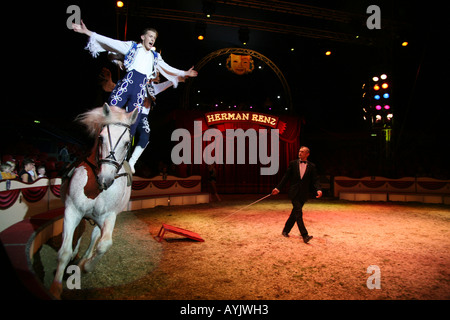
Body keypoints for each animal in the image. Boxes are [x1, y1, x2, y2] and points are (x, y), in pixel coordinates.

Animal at [50, 104, 138, 298]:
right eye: (101, 138)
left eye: (127, 143)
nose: (105, 179)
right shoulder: (72, 211)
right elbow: (64, 251)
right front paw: (56, 288)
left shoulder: (109, 216)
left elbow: (104, 244)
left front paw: (87, 265)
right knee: (80, 233)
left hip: (99, 220)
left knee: (94, 237)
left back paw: (84, 259)